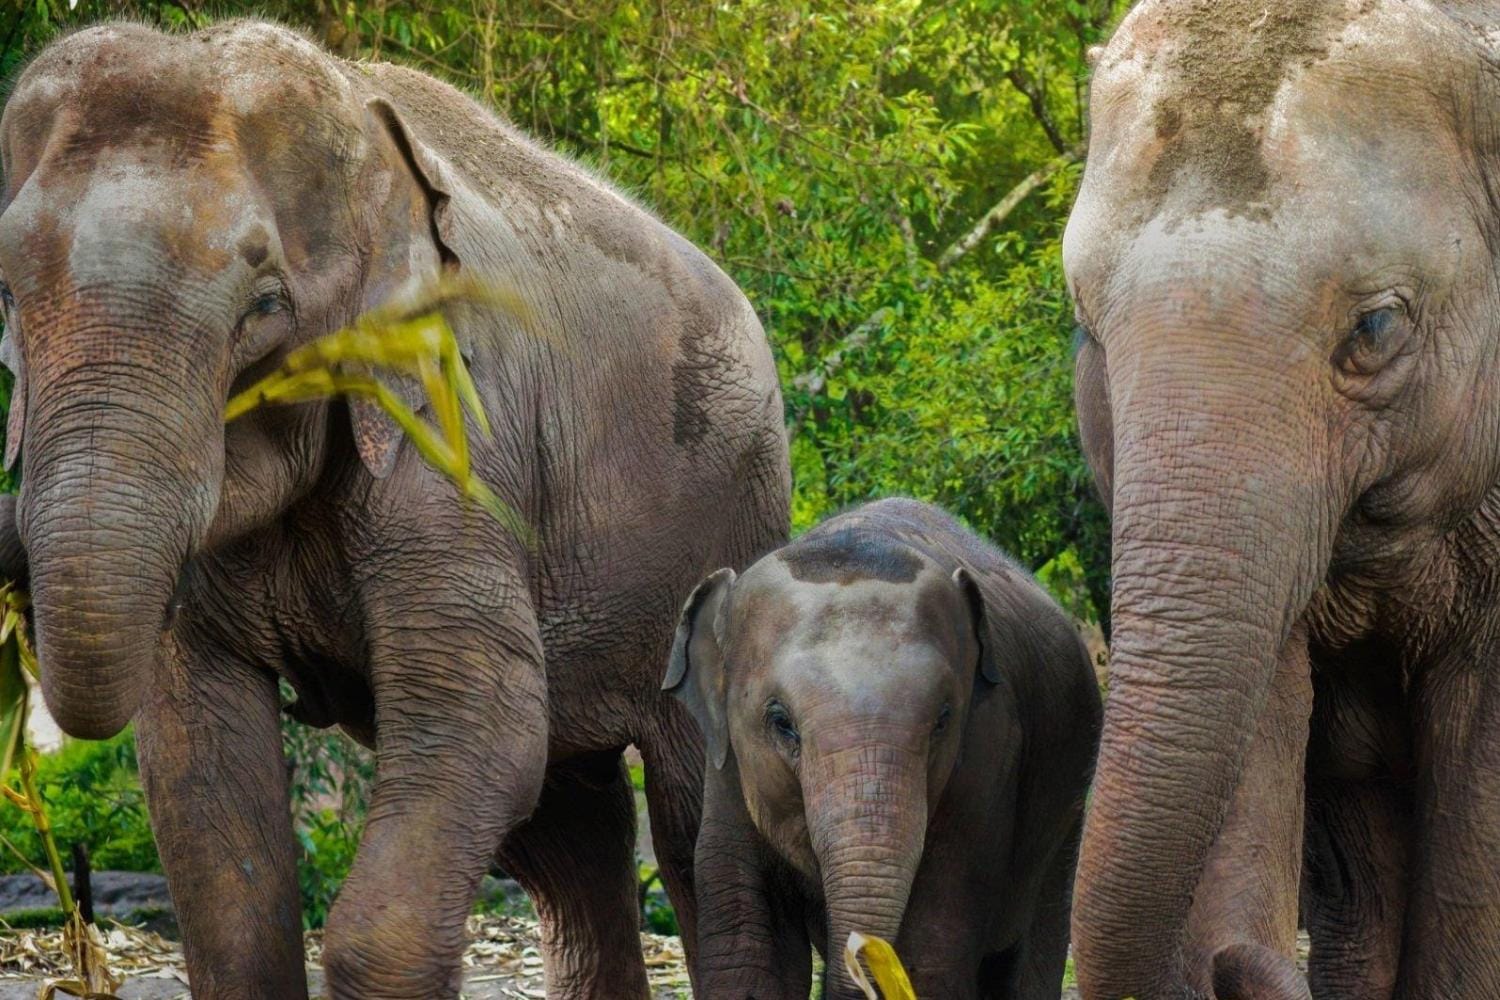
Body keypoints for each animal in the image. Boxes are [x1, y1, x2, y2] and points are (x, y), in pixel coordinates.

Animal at [0, 19, 790, 1000]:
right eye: (6, 294)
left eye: (265, 305)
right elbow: (197, 766)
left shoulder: (460, 419)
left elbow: (486, 713)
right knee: (566, 834)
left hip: (727, 515)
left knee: (689, 820)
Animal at [666, 498, 1102, 1000]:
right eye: (781, 722)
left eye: (943, 719)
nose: (859, 952)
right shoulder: (727, 773)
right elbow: (751, 956)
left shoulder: (988, 758)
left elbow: (928, 956)